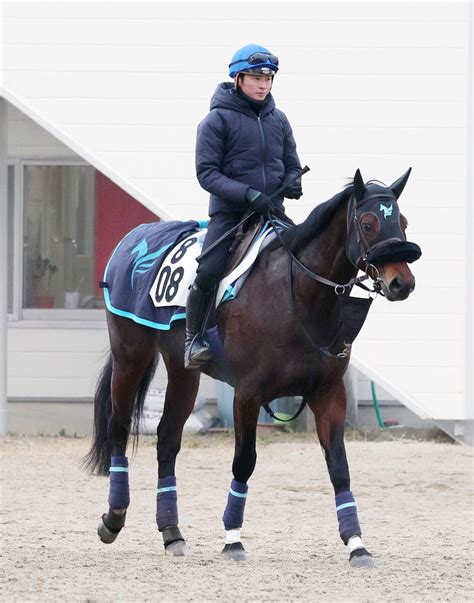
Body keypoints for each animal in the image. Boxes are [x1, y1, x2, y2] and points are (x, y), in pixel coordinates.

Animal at [83, 169, 420, 568]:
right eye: (368, 224)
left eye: (402, 222)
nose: (403, 283)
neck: (296, 293)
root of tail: (132, 239)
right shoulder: (247, 392)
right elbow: (244, 462)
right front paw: (232, 539)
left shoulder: (328, 393)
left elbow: (339, 467)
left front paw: (356, 544)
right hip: (130, 356)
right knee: (119, 427)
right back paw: (113, 518)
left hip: (183, 371)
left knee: (167, 439)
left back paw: (172, 532)